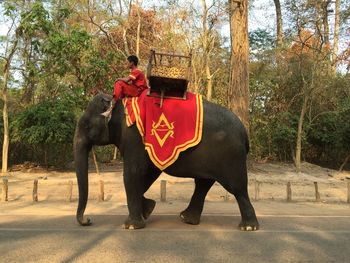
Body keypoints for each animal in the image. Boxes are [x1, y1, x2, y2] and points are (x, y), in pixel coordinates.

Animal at [74, 93, 260, 231]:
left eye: (86, 125)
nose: (88, 220)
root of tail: (244, 132)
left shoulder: (134, 137)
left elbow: (133, 173)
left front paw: (132, 225)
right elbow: (146, 174)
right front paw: (148, 209)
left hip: (231, 156)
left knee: (237, 188)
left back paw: (248, 227)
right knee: (203, 184)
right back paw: (187, 218)